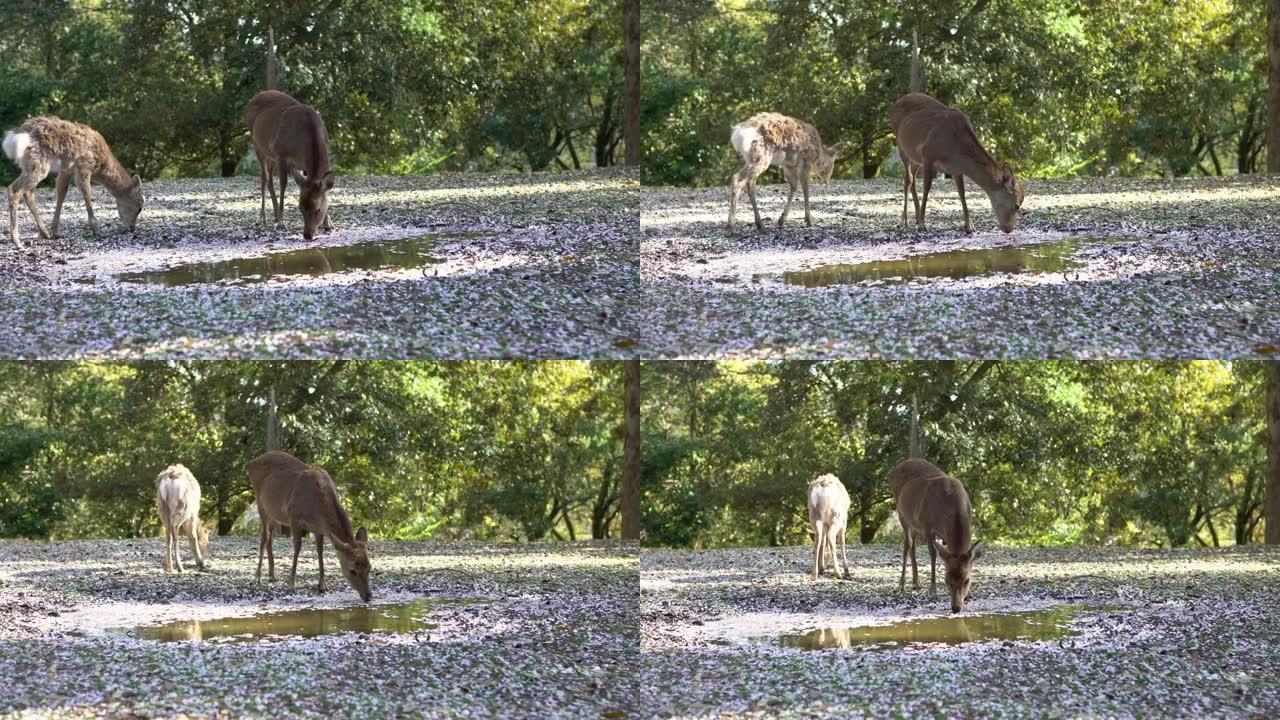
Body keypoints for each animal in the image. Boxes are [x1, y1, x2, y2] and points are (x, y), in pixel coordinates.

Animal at [2, 116, 142, 251]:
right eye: (139, 208)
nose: (132, 228)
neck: (100, 167)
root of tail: (13, 137)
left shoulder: (66, 170)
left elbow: (61, 194)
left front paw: (55, 232)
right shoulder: (84, 166)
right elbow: (87, 194)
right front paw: (96, 231)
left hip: (30, 166)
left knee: (27, 192)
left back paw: (44, 233)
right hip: (38, 164)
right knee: (14, 190)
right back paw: (17, 242)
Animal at [244, 90, 335, 238]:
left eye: (317, 209)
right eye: (300, 208)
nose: (307, 235)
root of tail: (255, 97)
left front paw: (329, 224)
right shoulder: (282, 155)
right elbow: (283, 185)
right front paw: (281, 222)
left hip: (271, 155)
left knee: (269, 179)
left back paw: (274, 215)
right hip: (258, 145)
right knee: (264, 178)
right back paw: (263, 218)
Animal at [248, 448, 371, 599]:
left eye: (370, 568)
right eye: (352, 570)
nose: (368, 596)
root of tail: (251, 463)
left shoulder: (318, 528)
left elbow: (320, 551)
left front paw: (322, 585)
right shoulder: (294, 517)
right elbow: (297, 548)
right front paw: (291, 585)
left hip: (273, 511)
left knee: (270, 537)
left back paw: (273, 575)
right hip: (260, 503)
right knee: (264, 536)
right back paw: (258, 577)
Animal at [885, 458, 983, 609]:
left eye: (967, 580)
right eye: (947, 580)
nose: (956, 607)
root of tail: (893, 470)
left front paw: (970, 595)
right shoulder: (928, 526)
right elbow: (933, 554)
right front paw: (933, 591)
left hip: (915, 522)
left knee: (913, 544)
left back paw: (916, 582)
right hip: (902, 513)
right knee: (907, 544)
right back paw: (901, 585)